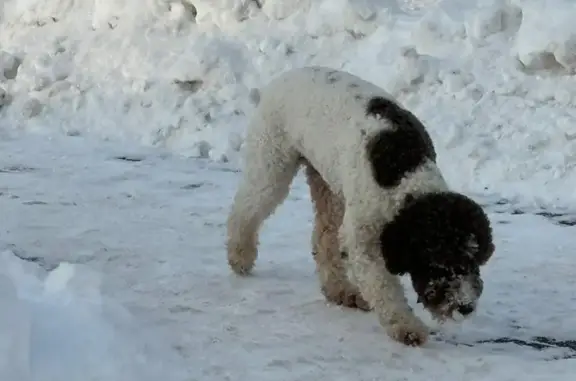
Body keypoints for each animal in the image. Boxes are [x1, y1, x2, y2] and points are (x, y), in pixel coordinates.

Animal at [225, 67, 496, 346]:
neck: (404, 173)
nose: (465, 307)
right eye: (439, 263)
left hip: (327, 182)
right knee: (245, 209)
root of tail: (285, 76)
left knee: (323, 239)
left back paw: (340, 290)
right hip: (272, 164)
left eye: (473, 259)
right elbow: (383, 285)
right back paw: (239, 256)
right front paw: (406, 326)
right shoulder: (362, 237)